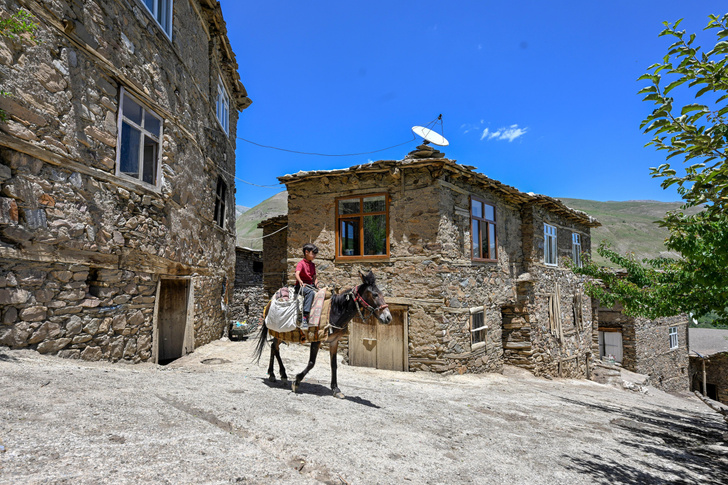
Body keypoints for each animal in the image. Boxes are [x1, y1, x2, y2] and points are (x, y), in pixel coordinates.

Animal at [255, 268, 392, 398]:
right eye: (375, 294)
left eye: (382, 294)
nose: (388, 317)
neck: (334, 311)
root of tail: (270, 301)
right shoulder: (316, 339)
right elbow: (311, 363)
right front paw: (297, 381)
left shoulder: (334, 341)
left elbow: (334, 365)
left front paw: (336, 389)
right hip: (280, 331)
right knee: (275, 348)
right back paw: (280, 375)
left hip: (282, 333)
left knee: (274, 347)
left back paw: (274, 374)